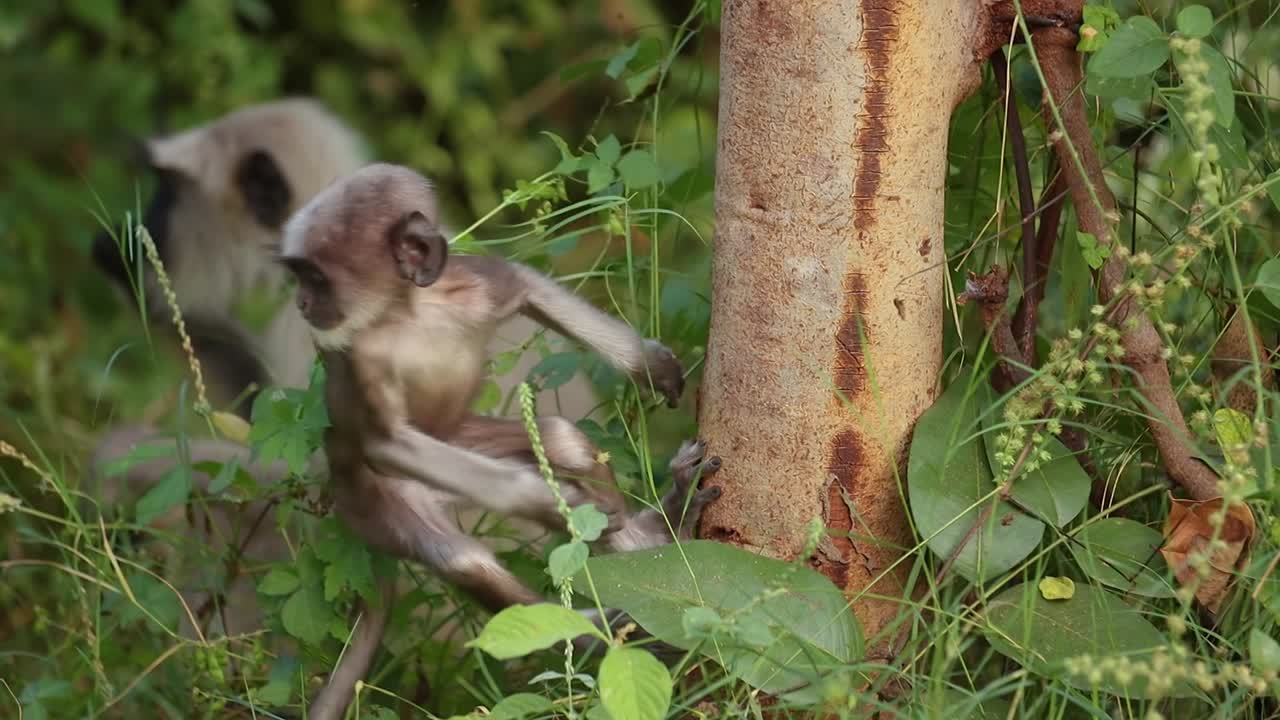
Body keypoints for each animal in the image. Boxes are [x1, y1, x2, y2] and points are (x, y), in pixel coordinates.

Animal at [276, 163, 722, 719]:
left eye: (315, 279)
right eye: (301, 277)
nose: (302, 302)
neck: (408, 311)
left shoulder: (473, 286)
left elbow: (527, 283)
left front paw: (650, 364)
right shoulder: (358, 357)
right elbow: (388, 443)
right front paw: (554, 507)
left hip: (457, 438)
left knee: (562, 440)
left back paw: (662, 533)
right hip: (382, 498)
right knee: (468, 555)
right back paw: (606, 628)